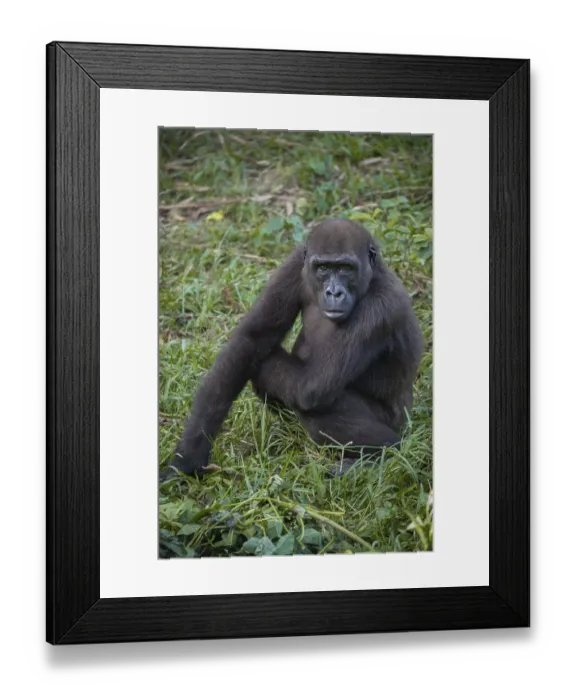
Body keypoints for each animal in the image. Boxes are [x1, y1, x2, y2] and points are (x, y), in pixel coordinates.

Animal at [164, 218, 423, 479]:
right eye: (322, 268)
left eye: (345, 269)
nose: (334, 292)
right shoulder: (297, 261)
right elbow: (250, 341)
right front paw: (189, 456)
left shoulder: (380, 308)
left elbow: (311, 386)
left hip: (397, 423)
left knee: (316, 408)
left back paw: (385, 453)